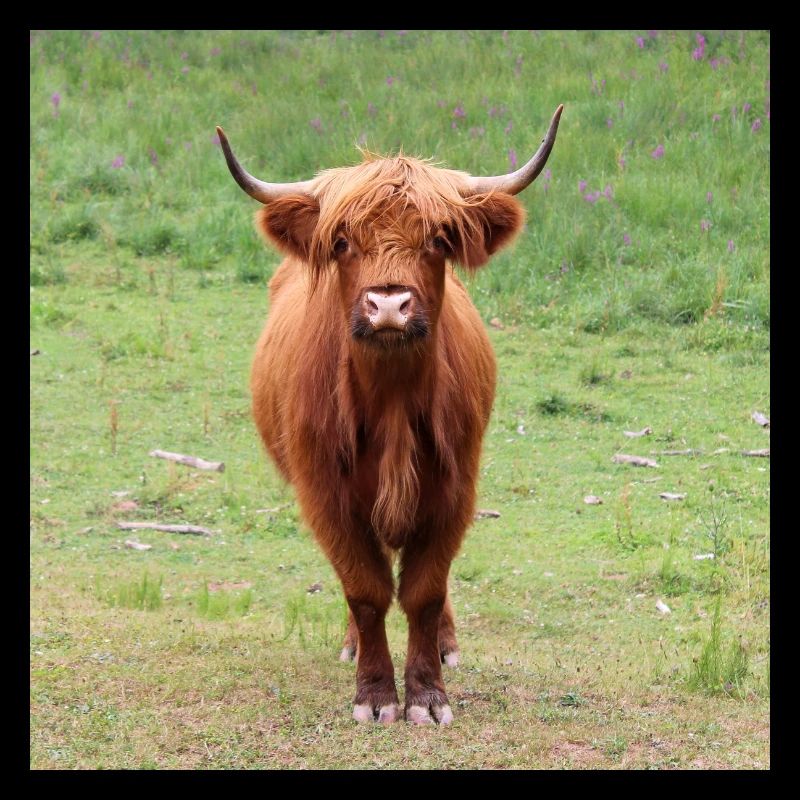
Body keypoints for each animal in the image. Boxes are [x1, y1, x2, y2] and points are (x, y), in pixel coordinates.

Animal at [217, 105, 563, 725]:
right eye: (342, 242)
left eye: (440, 238)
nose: (388, 306)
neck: (393, 402)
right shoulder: (326, 496)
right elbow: (365, 588)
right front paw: (375, 695)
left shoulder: (454, 489)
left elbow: (425, 591)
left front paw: (426, 697)